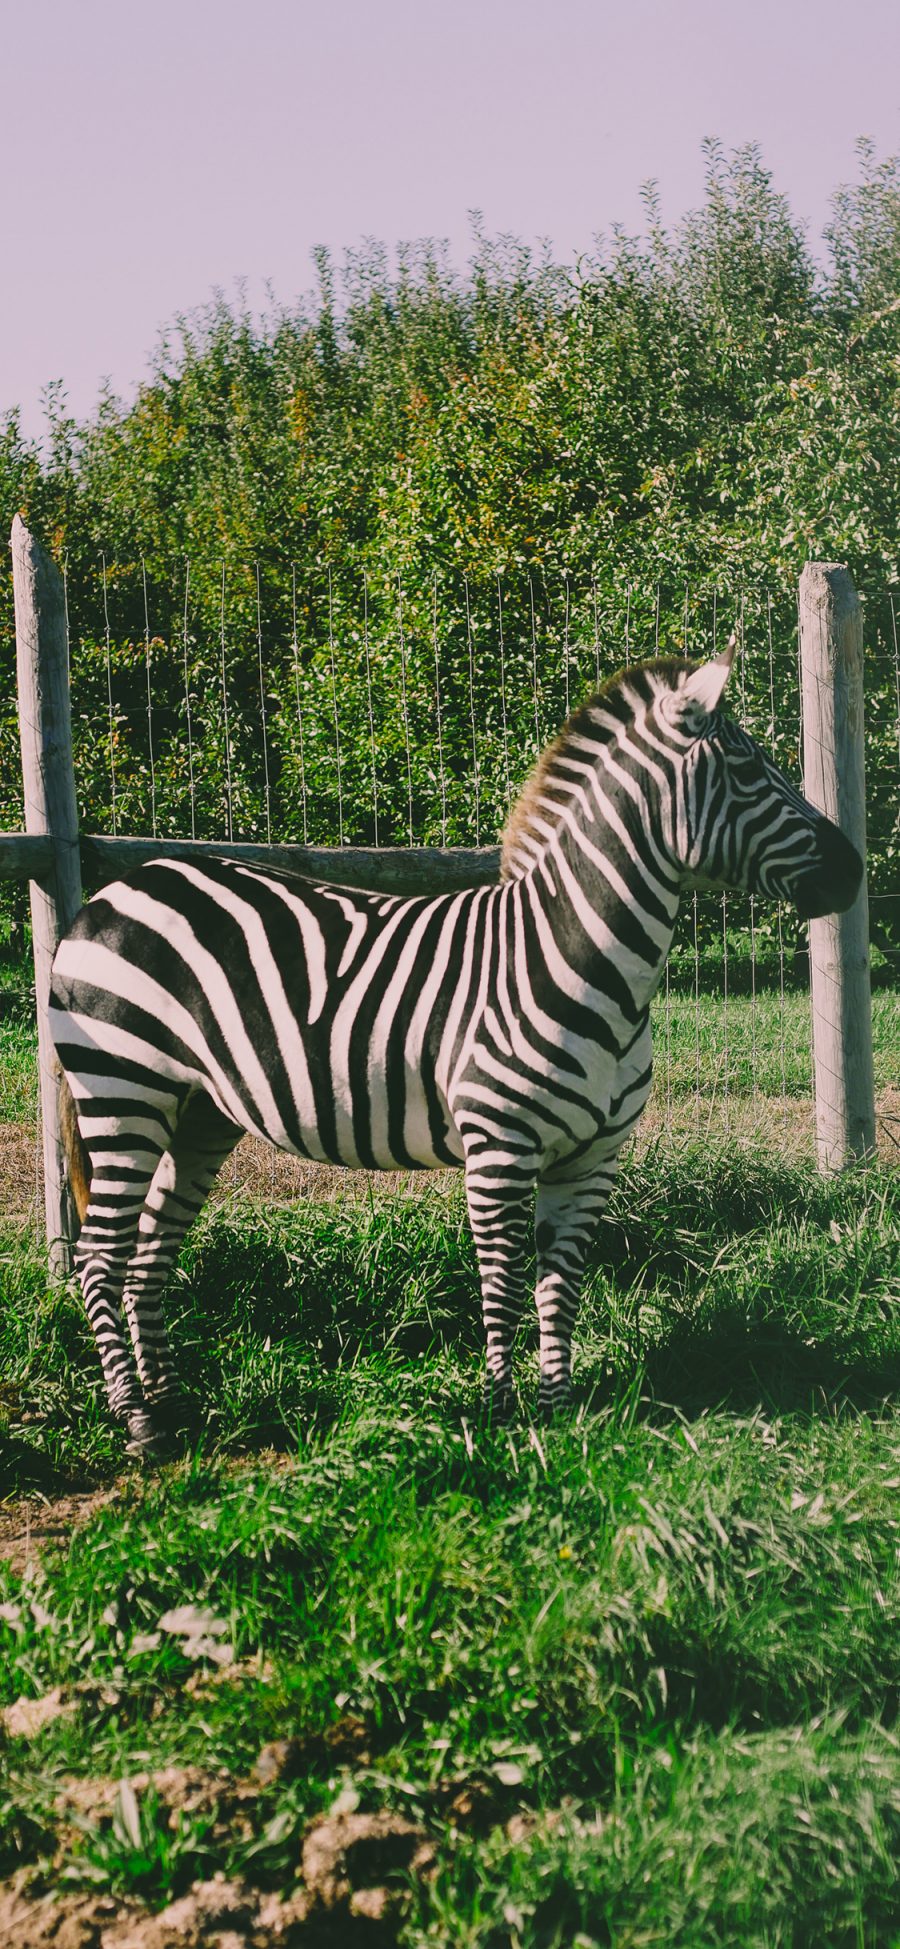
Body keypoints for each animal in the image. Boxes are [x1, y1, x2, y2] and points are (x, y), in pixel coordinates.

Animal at [50, 647, 864, 1457]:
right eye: (750, 769)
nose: (855, 871)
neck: (579, 959)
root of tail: (110, 894)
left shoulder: (592, 1158)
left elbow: (560, 1286)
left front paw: (558, 1410)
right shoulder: (499, 1146)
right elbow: (503, 1283)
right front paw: (503, 1413)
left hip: (200, 1112)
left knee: (148, 1255)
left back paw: (170, 1403)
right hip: (124, 1091)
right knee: (100, 1257)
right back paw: (138, 1420)